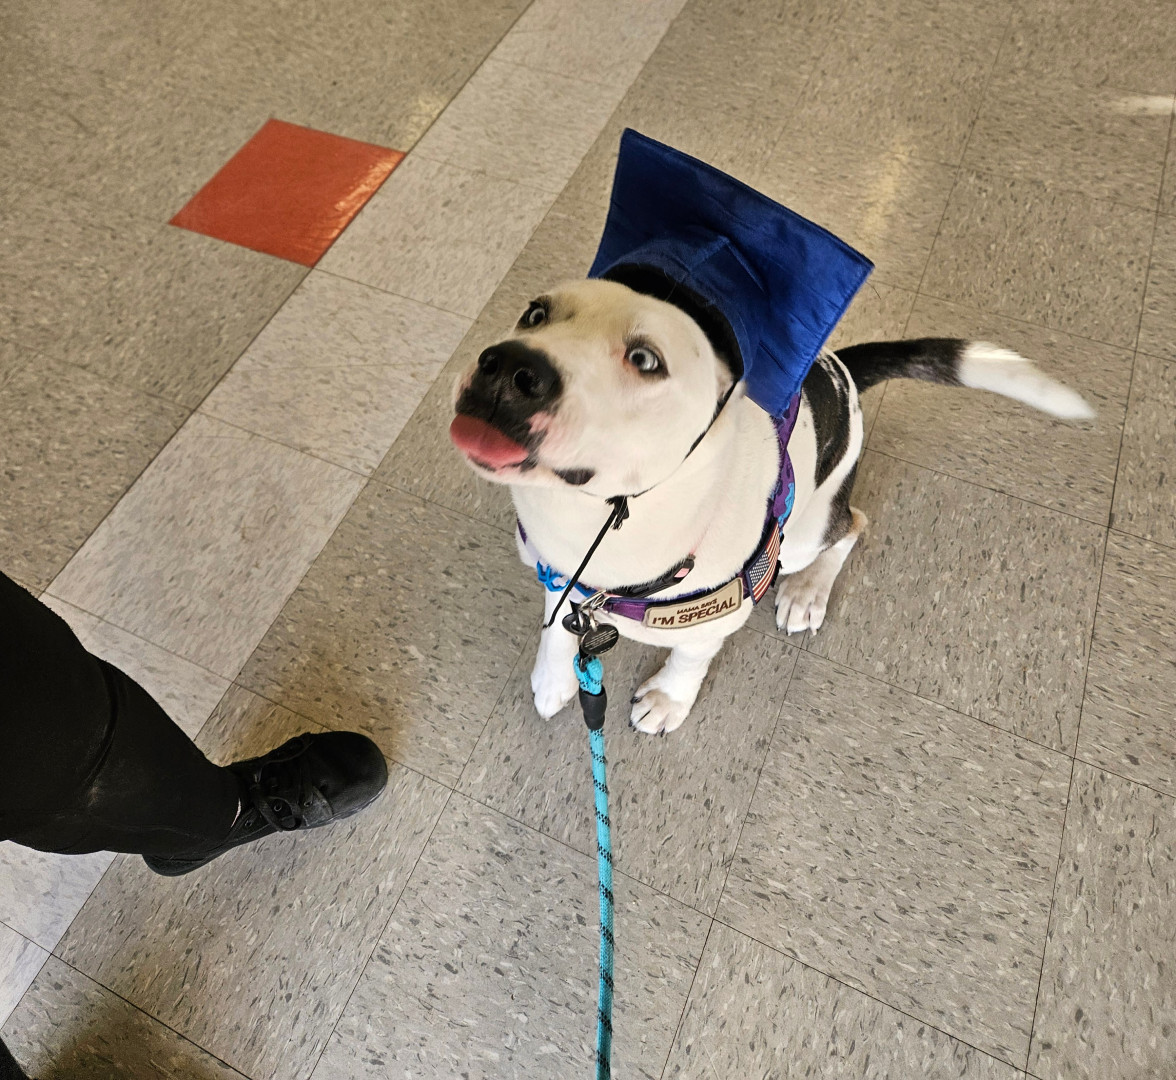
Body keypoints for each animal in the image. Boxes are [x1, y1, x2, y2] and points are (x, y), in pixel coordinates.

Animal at [449, 278, 1094, 735]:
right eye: (536, 313)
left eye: (646, 359)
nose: (508, 366)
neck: (602, 525)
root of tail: (840, 368)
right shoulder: (559, 575)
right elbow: (558, 627)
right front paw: (553, 677)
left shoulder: (715, 617)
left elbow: (689, 659)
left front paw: (667, 700)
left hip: (808, 530)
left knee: (853, 526)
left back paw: (807, 593)